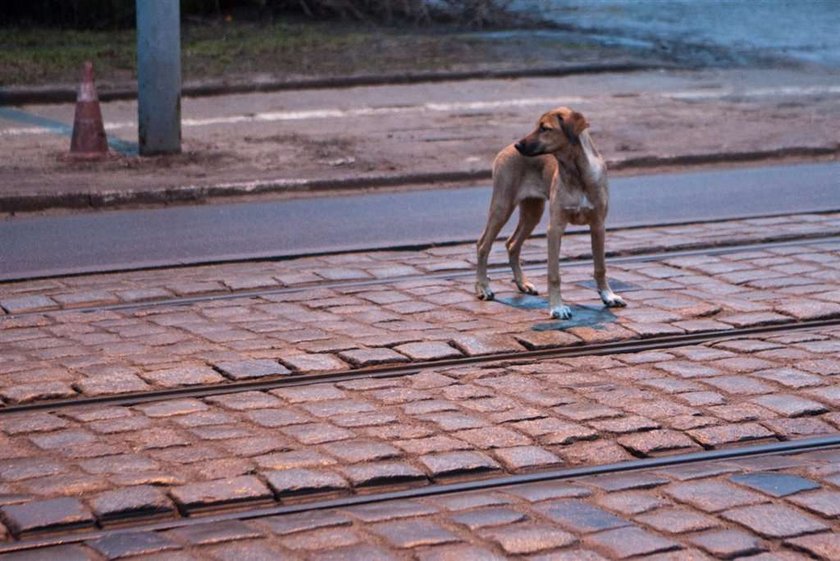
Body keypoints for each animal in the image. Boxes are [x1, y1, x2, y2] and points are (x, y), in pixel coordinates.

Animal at [476, 108, 628, 320]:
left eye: (545, 128)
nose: (518, 145)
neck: (577, 172)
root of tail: (504, 150)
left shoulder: (598, 225)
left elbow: (600, 267)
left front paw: (608, 296)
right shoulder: (555, 229)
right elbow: (554, 274)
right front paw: (557, 307)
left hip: (533, 211)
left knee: (512, 244)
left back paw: (522, 284)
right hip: (502, 205)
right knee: (483, 244)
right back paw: (483, 288)